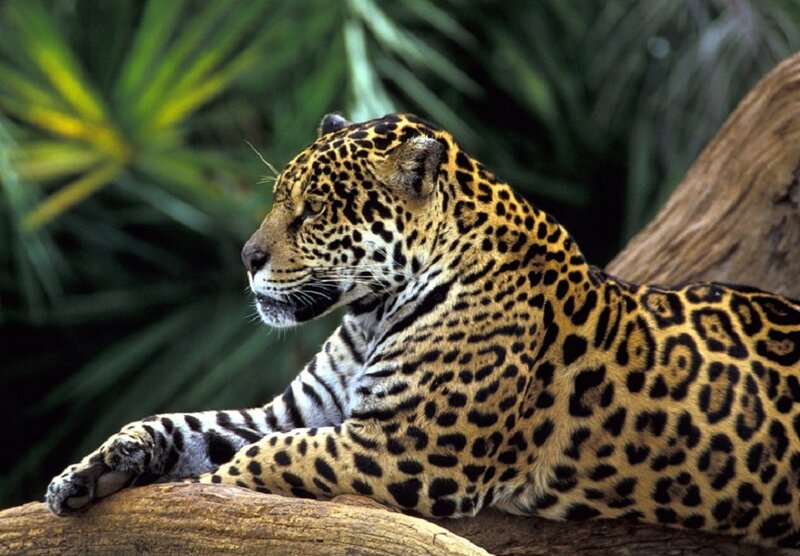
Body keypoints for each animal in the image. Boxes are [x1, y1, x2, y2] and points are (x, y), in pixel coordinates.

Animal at [47, 112, 800, 547]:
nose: (246, 257)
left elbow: (269, 459)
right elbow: (184, 426)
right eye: (278, 199)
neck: (371, 310)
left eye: (313, 210)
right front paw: (88, 473)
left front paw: (212, 492)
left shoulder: (410, 448)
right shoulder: (298, 411)